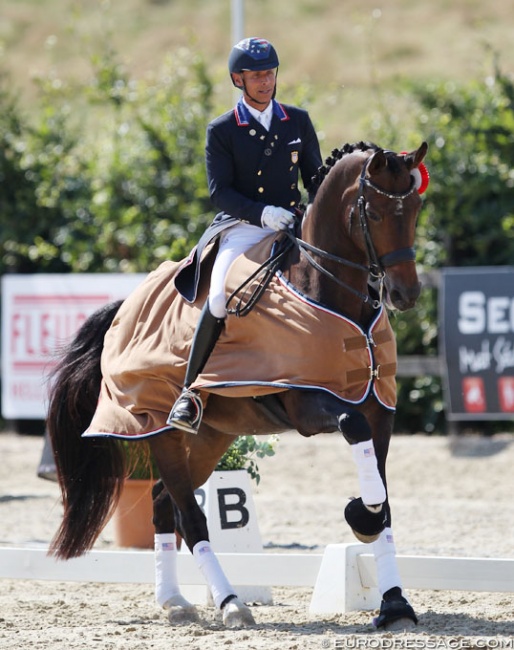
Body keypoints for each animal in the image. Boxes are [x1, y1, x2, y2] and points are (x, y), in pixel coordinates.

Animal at [47, 140, 424, 628]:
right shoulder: (308, 405)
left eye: (414, 209)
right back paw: (229, 603)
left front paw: (394, 601)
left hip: (212, 436)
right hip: (160, 429)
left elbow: (383, 494)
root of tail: (124, 305)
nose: (405, 295)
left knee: (162, 503)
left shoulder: (381, 407)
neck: (333, 295)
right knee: (189, 516)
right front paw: (360, 514)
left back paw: (175, 601)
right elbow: (353, 431)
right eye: (374, 214)